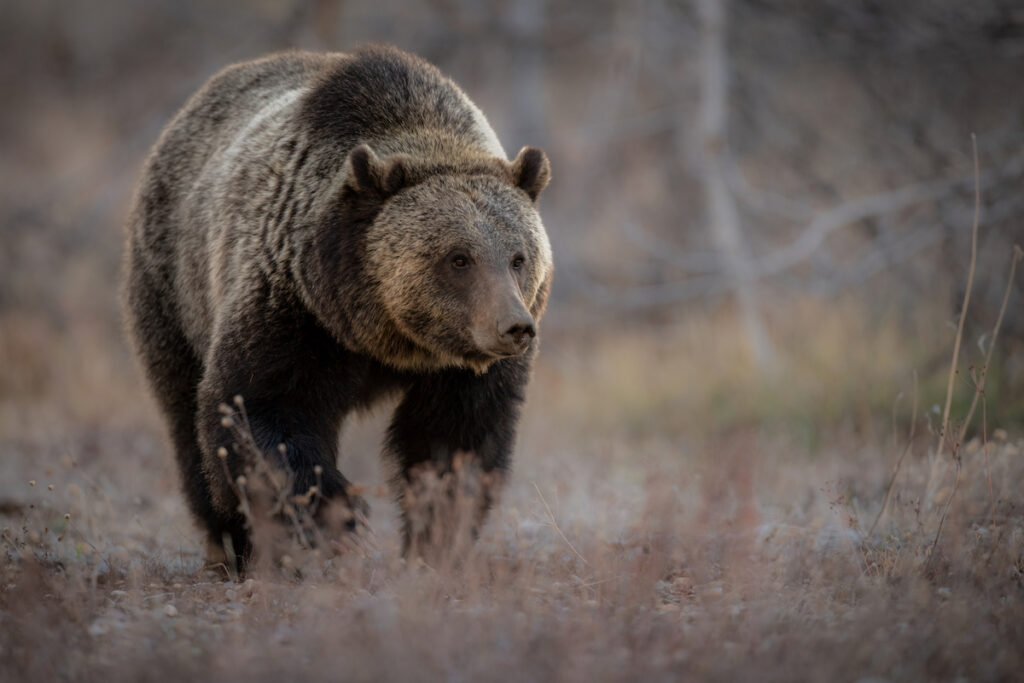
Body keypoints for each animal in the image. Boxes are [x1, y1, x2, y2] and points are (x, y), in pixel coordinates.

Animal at [121, 46, 552, 565]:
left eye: (518, 257)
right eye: (459, 258)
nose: (515, 327)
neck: (382, 334)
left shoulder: (462, 370)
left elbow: (455, 441)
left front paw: (436, 541)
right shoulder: (293, 307)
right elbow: (261, 409)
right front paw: (338, 523)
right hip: (174, 288)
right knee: (185, 417)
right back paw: (229, 546)